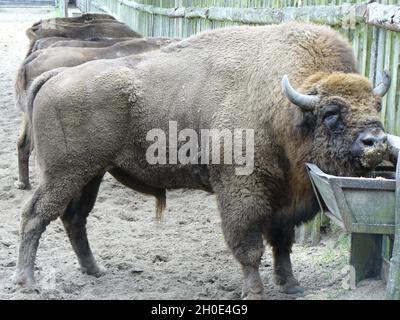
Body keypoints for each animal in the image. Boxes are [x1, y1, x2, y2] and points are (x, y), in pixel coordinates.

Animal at [14, 22, 392, 300]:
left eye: (376, 106)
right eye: (331, 113)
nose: (376, 141)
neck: (287, 110)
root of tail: (56, 77)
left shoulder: (284, 201)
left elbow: (282, 244)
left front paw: (292, 285)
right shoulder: (242, 193)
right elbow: (249, 247)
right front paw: (254, 291)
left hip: (90, 174)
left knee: (74, 219)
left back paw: (94, 270)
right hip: (64, 173)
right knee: (35, 215)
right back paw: (27, 281)